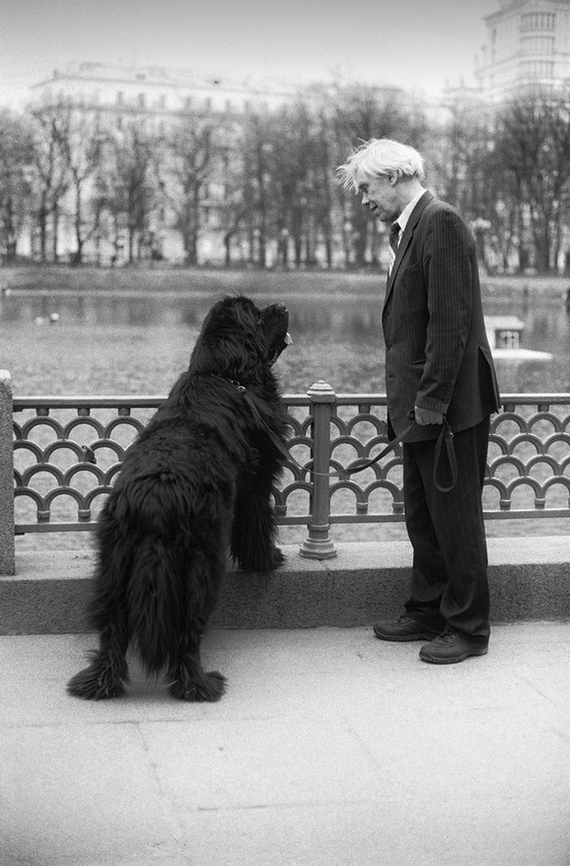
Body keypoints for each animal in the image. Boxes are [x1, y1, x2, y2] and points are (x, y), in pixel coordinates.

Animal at [66, 294, 288, 700]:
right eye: (257, 314)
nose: (282, 305)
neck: (224, 375)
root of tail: (154, 500)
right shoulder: (257, 479)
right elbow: (258, 522)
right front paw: (267, 560)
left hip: (114, 564)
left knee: (112, 631)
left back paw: (100, 683)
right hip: (199, 563)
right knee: (188, 632)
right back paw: (199, 685)